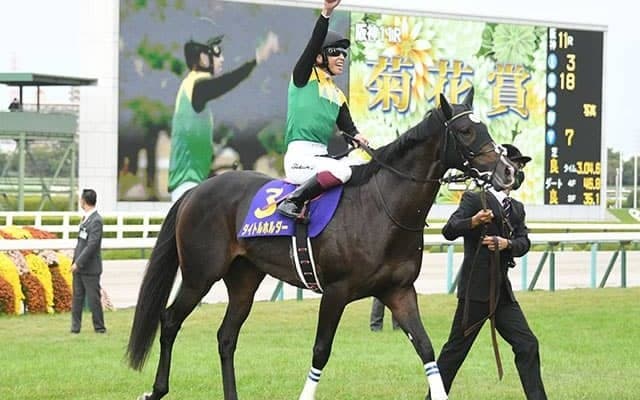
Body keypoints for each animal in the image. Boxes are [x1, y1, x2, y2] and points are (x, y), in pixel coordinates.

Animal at [126, 88, 516, 400]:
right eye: (466, 131)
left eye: (485, 128)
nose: (508, 171)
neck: (382, 208)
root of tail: (197, 190)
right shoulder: (336, 292)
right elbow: (320, 351)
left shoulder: (399, 291)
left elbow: (426, 349)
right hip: (199, 275)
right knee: (169, 320)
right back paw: (156, 390)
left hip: (244, 279)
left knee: (226, 336)